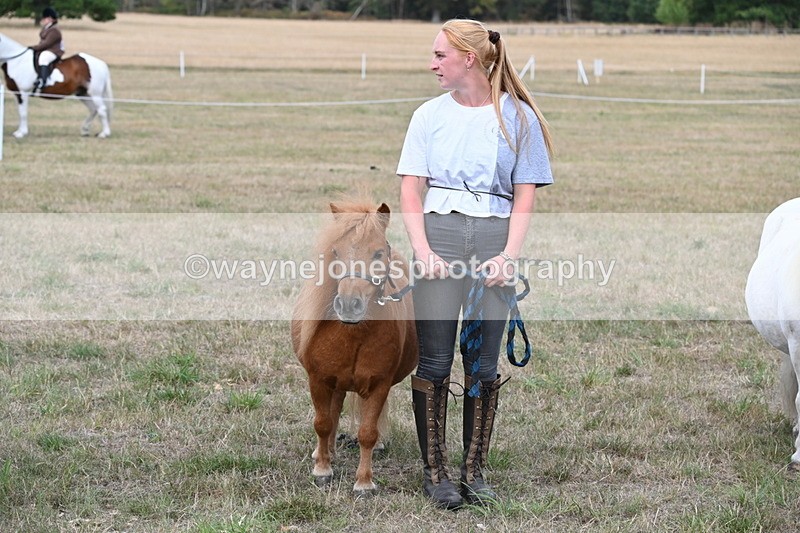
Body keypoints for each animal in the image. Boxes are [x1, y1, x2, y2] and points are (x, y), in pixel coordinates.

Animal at [291, 201, 417, 496]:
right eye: (335, 251)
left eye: (378, 252)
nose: (349, 305)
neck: (353, 333)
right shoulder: (318, 380)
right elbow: (323, 423)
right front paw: (322, 469)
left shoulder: (379, 384)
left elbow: (367, 433)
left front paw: (364, 482)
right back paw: (324, 453)